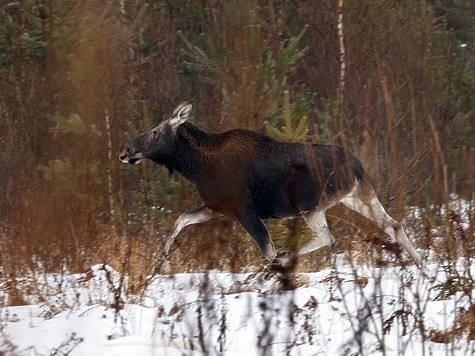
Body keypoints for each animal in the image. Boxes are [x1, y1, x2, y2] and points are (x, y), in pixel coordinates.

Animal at [120, 104, 424, 268]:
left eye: (156, 131)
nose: (126, 150)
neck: (195, 166)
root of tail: (358, 167)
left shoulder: (245, 212)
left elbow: (267, 251)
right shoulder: (217, 209)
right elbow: (182, 219)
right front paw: (159, 258)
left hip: (308, 204)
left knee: (327, 237)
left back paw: (286, 258)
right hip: (358, 197)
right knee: (394, 225)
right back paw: (422, 268)